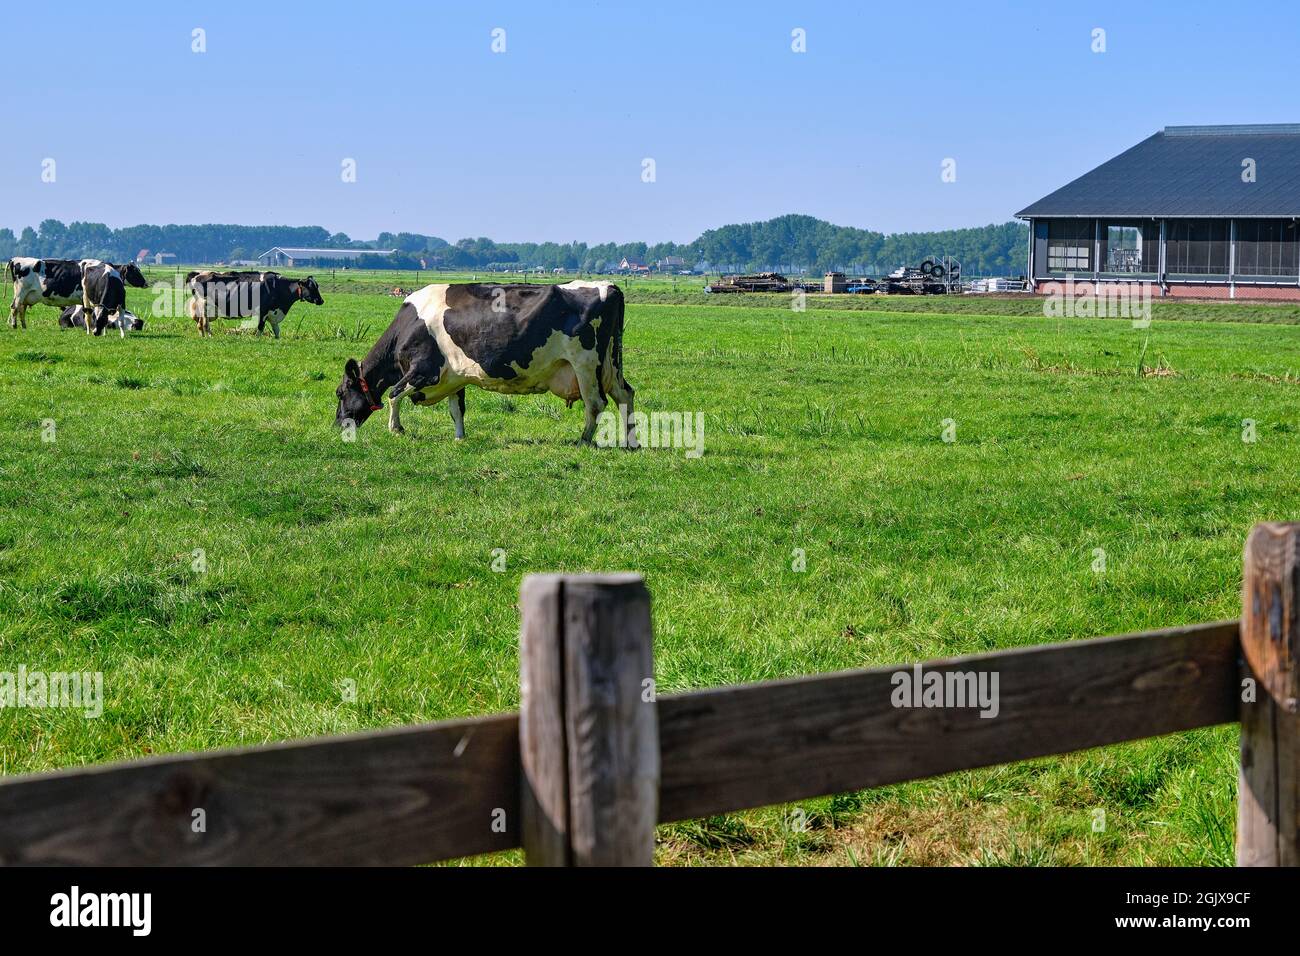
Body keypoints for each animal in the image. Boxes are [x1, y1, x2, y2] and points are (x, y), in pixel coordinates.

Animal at [7, 257, 146, 329]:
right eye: (135, 272)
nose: (146, 283)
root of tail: (15, 259)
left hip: (26, 296)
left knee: (21, 309)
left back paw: (24, 326)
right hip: (20, 292)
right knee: (14, 307)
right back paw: (14, 325)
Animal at [185, 270, 322, 338]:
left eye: (317, 286)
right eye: (311, 287)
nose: (321, 301)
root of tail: (198, 274)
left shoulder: (273, 312)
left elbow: (276, 330)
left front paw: (277, 340)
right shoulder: (262, 311)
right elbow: (260, 327)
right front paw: (257, 339)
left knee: (200, 324)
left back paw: (205, 336)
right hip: (205, 307)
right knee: (204, 324)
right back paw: (208, 336)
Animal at [332, 278, 637, 447]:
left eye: (340, 392)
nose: (337, 425)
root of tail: (607, 286)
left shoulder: (424, 371)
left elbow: (394, 394)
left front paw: (396, 429)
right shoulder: (453, 377)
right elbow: (456, 410)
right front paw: (459, 438)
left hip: (586, 363)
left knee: (595, 403)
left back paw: (583, 440)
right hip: (610, 365)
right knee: (625, 395)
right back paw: (631, 441)